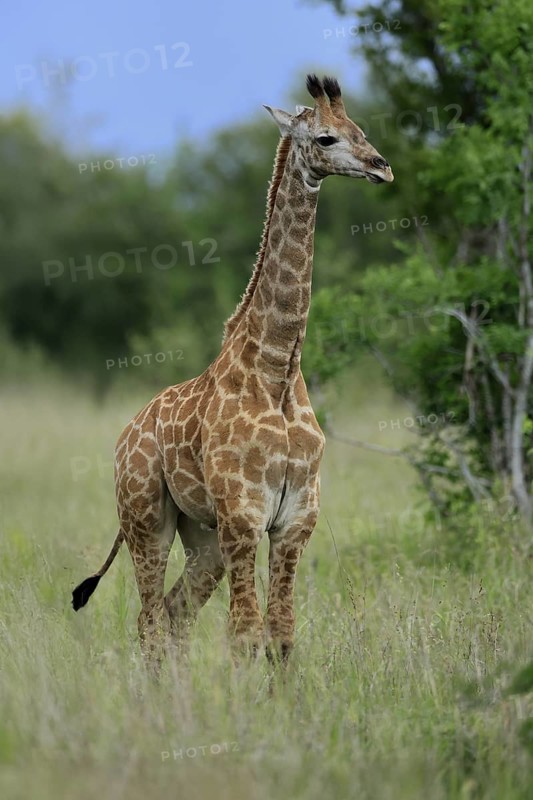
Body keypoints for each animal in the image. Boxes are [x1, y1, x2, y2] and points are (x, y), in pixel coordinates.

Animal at [72, 74, 393, 666]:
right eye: (326, 137)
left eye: (359, 128)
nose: (381, 166)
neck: (278, 370)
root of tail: (125, 436)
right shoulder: (244, 515)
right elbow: (244, 636)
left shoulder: (295, 520)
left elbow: (282, 636)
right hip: (147, 520)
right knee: (149, 621)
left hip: (202, 535)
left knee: (174, 613)